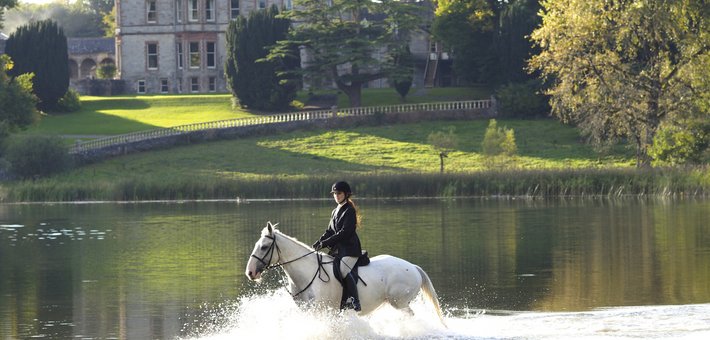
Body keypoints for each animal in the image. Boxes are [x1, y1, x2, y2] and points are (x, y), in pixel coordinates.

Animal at [245, 222, 444, 326]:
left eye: (264, 247)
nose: (250, 272)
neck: (307, 275)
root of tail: (414, 267)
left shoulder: (324, 311)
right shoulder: (308, 311)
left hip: (399, 302)